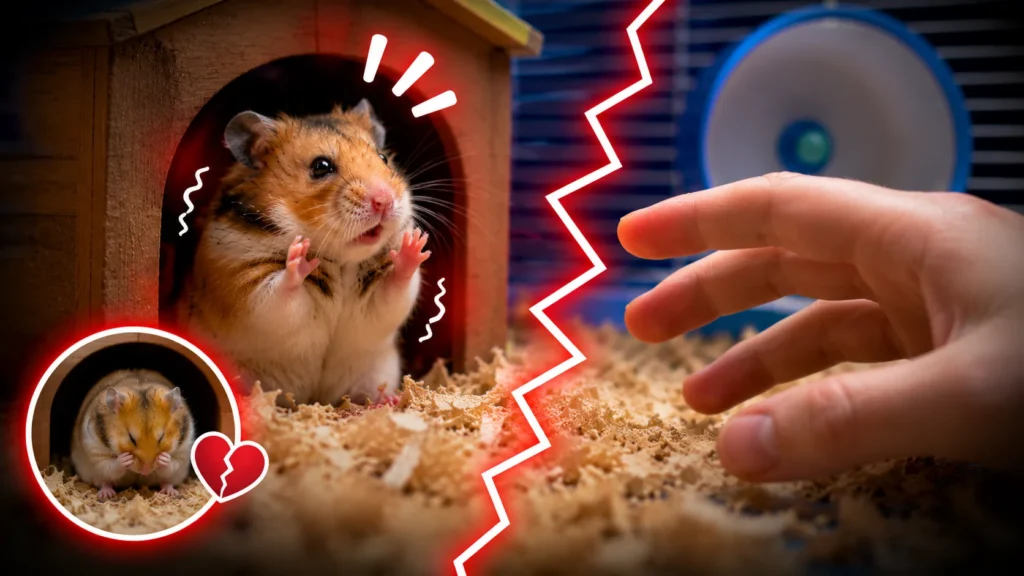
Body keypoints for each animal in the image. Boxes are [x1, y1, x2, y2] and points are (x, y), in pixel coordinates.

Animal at [70, 369, 196, 500]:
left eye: (161, 437)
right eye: (131, 438)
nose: (145, 472)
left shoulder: (182, 453)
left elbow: (172, 464)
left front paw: (163, 458)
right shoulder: (95, 452)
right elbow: (110, 466)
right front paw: (125, 459)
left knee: (166, 481)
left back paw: (171, 492)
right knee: (105, 482)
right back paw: (106, 493)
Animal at [178, 100, 430, 406]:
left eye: (383, 158)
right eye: (321, 167)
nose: (384, 201)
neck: (341, 260)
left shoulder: (376, 298)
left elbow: (395, 289)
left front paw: (413, 245)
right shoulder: (243, 283)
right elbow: (278, 295)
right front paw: (300, 257)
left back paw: (386, 401)